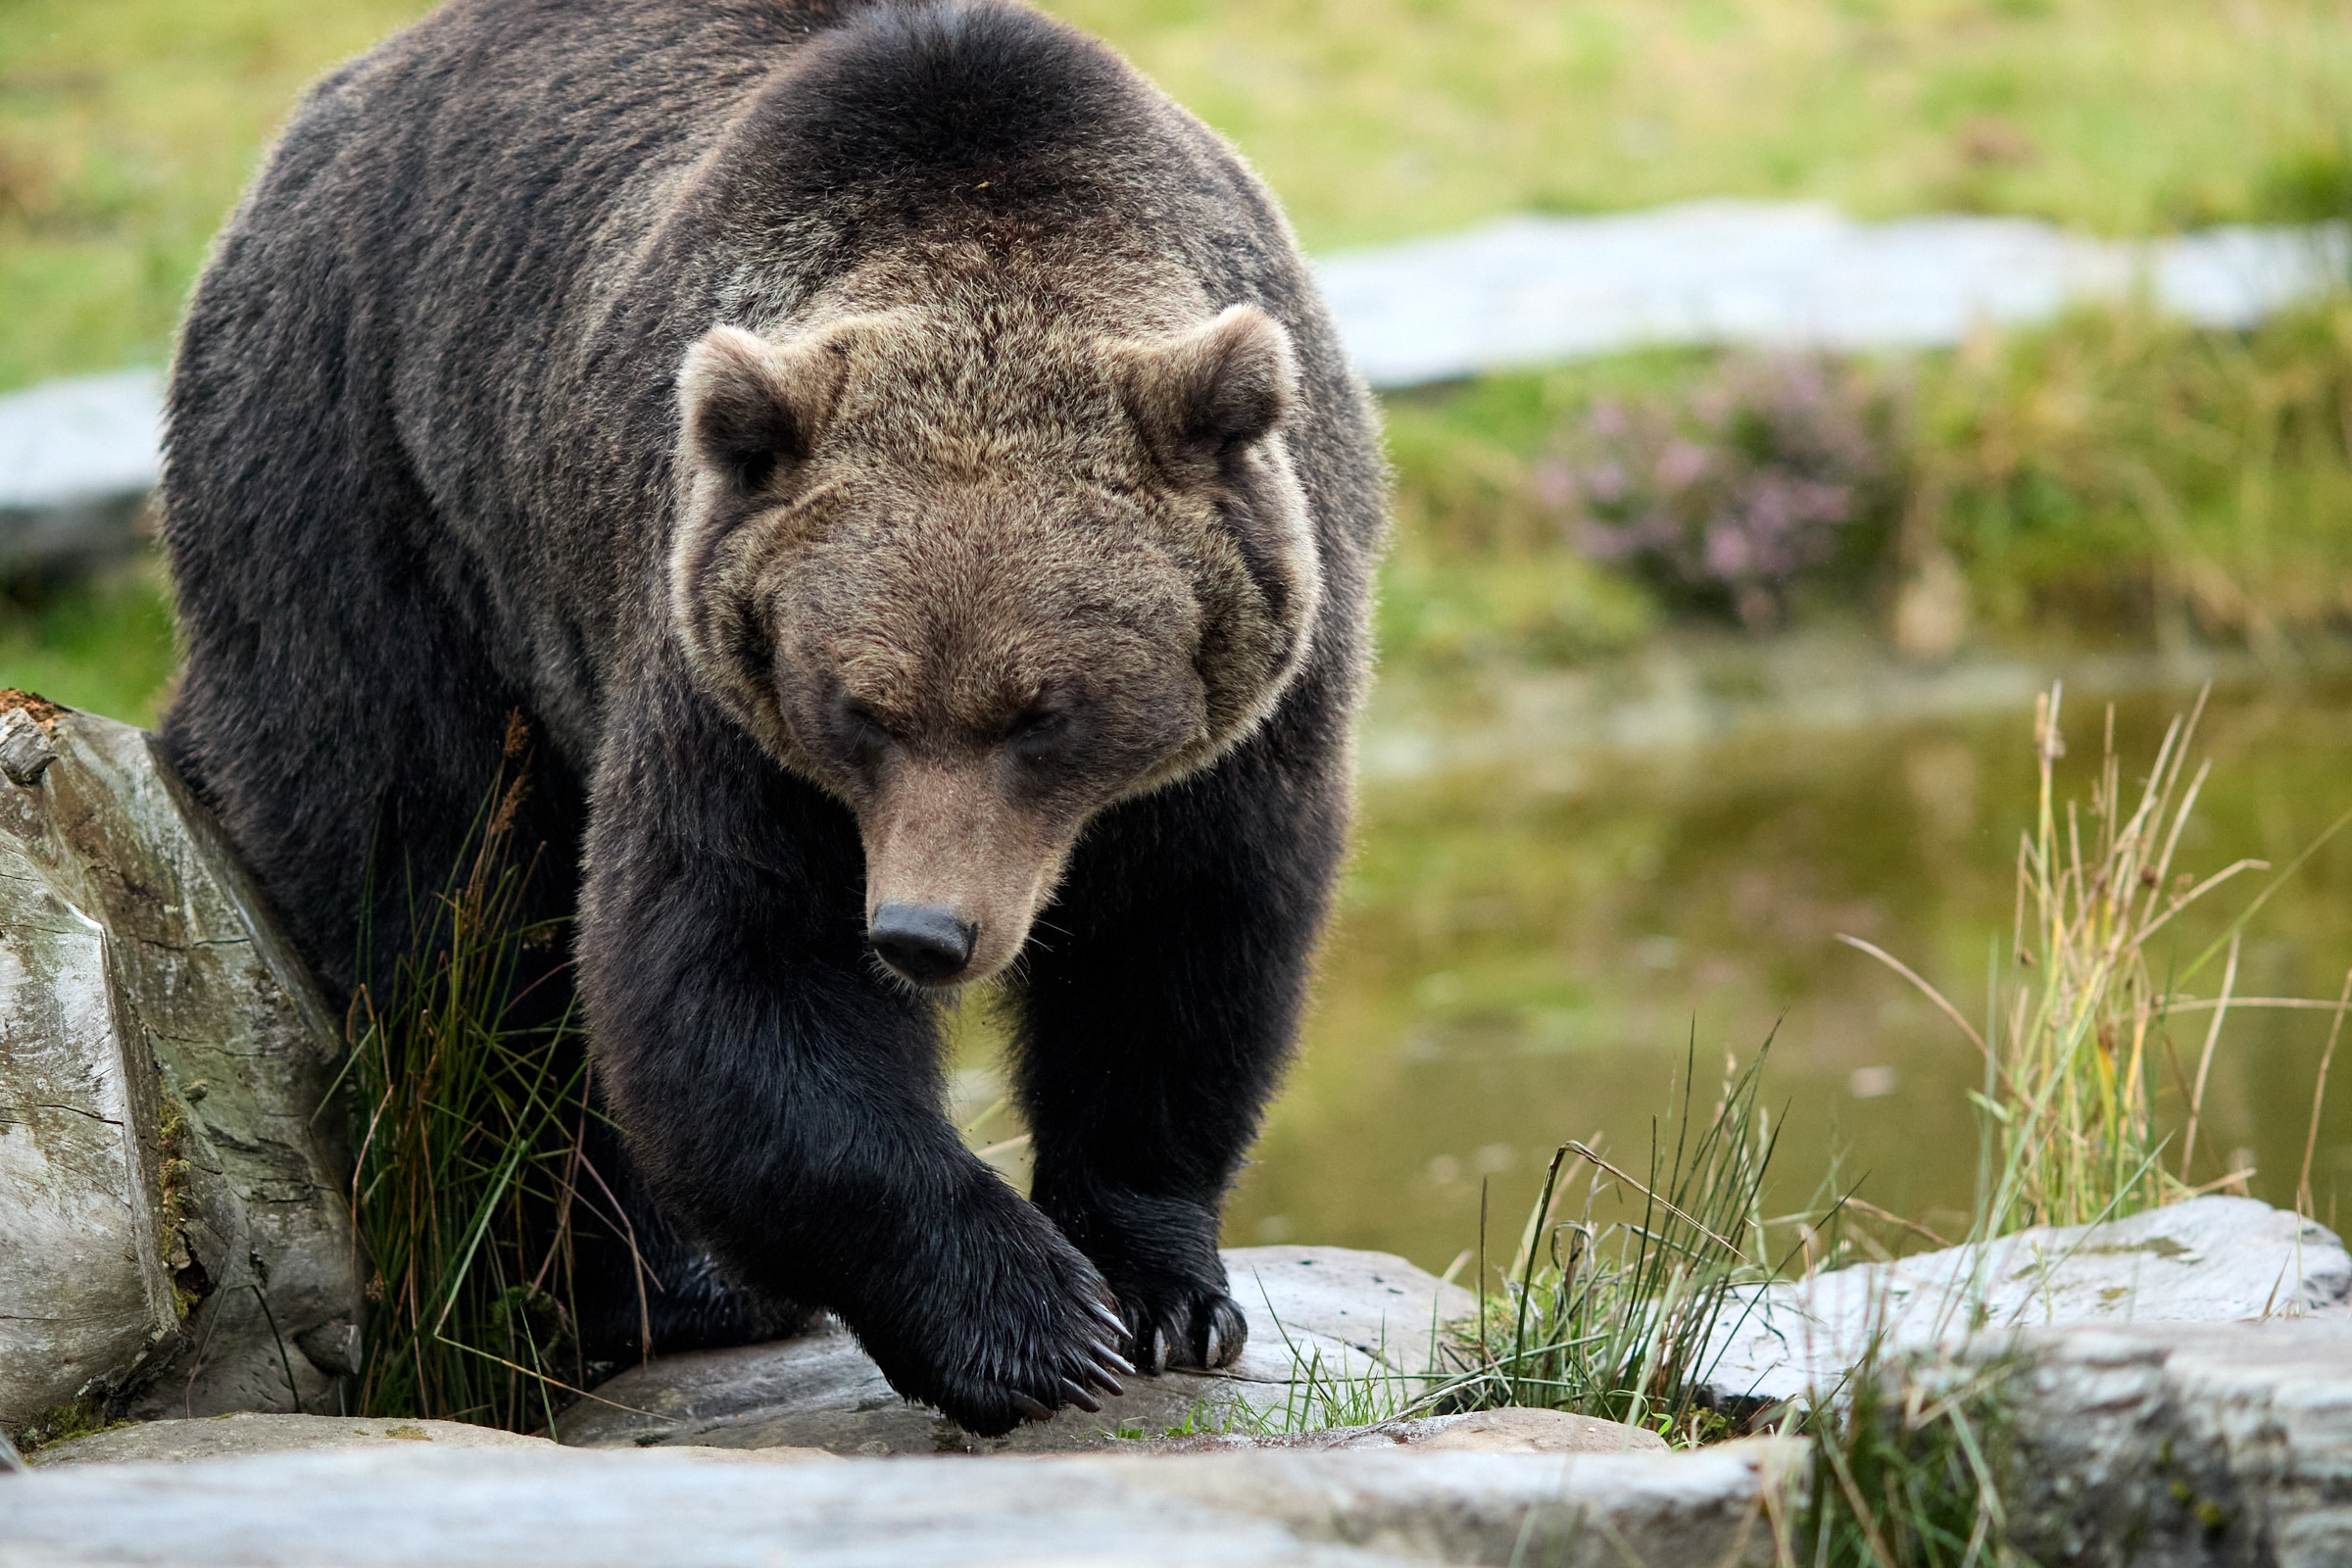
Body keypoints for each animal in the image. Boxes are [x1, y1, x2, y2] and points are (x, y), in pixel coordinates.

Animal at [158, 0, 1383, 1436]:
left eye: (1045, 712)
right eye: (860, 706)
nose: (922, 932)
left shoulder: (1251, 704)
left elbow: (1182, 952)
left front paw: (1163, 1292)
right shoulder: (718, 679)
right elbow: (732, 965)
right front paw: (1027, 1322)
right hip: (368, 489)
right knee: (450, 918)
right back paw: (663, 1287)